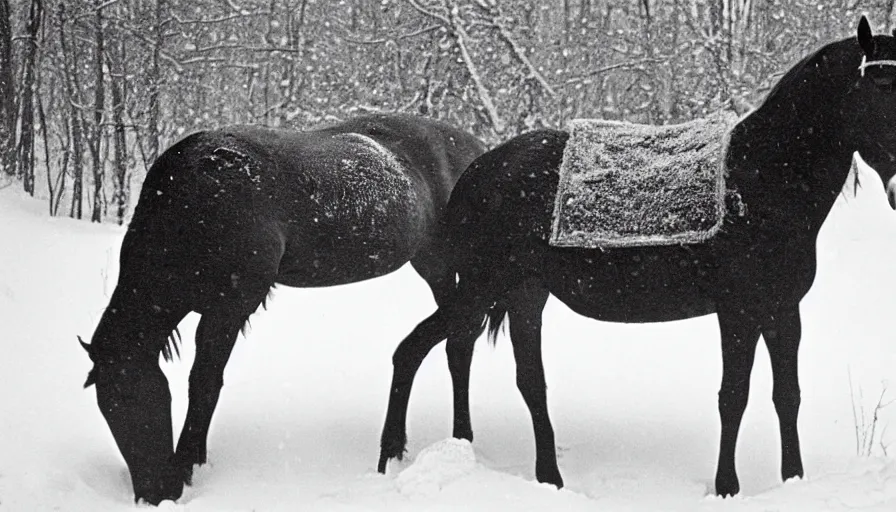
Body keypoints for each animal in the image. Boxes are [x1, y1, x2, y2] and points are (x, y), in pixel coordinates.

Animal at [82, 113, 490, 504]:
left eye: (132, 398)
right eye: (105, 408)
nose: (152, 493)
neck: (194, 202)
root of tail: (477, 148)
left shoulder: (231, 307)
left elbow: (205, 382)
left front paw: (187, 463)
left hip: (442, 262)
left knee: (460, 339)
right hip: (433, 266)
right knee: (458, 341)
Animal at [374, 19, 896, 496]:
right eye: (880, 87)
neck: (760, 181)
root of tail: (476, 170)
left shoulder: (783, 308)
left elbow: (787, 395)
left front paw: (794, 480)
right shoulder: (738, 310)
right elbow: (734, 397)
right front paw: (727, 486)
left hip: (522, 294)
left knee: (500, 369)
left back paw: (521, 468)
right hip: (483, 286)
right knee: (421, 349)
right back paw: (396, 454)